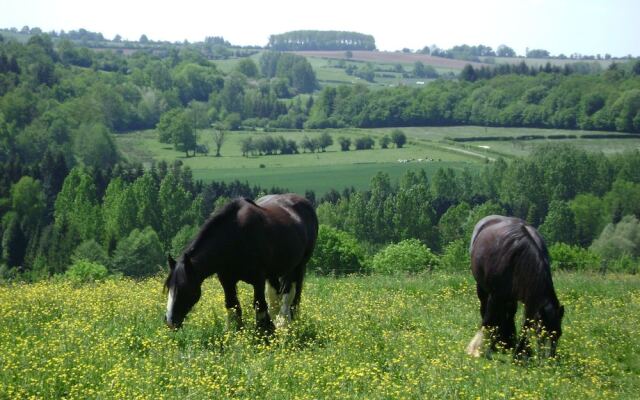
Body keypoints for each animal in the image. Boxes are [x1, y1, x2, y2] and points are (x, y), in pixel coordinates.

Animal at [164, 194, 316, 332]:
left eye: (184, 288)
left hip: (298, 267)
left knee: (290, 297)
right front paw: (234, 333)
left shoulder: (258, 279)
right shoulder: (227, 280)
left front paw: (264, 333)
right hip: (274, 273)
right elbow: (232, 305)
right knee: (275, 298)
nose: (170, 321)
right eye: (169, 287)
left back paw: (286, 323)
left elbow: (260, 305)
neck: (236, 237)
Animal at [464, 214, 564, 358]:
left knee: (508, 313)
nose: (550, 359)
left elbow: (526, 325)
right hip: (483, 289)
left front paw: (520, 352)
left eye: (559, 334)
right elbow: (489, 320)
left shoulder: (530, 300)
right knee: (486, 310)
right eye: (541, 334)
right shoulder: (495, 295)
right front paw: (478, 349)